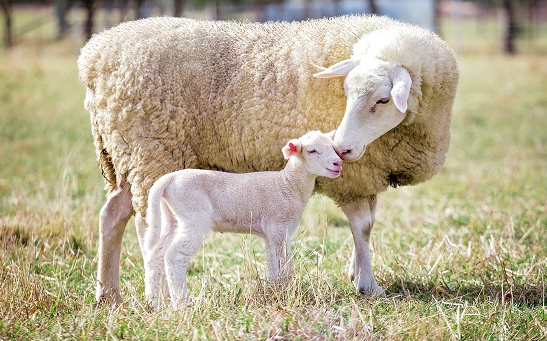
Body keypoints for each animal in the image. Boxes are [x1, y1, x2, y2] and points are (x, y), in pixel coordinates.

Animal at [144, 129, 342, 306]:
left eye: (333, 148)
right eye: (312, 151)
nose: (337, 163)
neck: (288, 184)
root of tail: (169, 179)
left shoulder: (272, 233)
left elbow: (272, 264)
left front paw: (274, 291)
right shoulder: (279, 227)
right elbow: (284, 264)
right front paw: (284, 292)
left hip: (172, 218)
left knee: (155, 255)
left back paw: (153, 303)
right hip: (193, 215)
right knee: (174, 256)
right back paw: (182, 303)